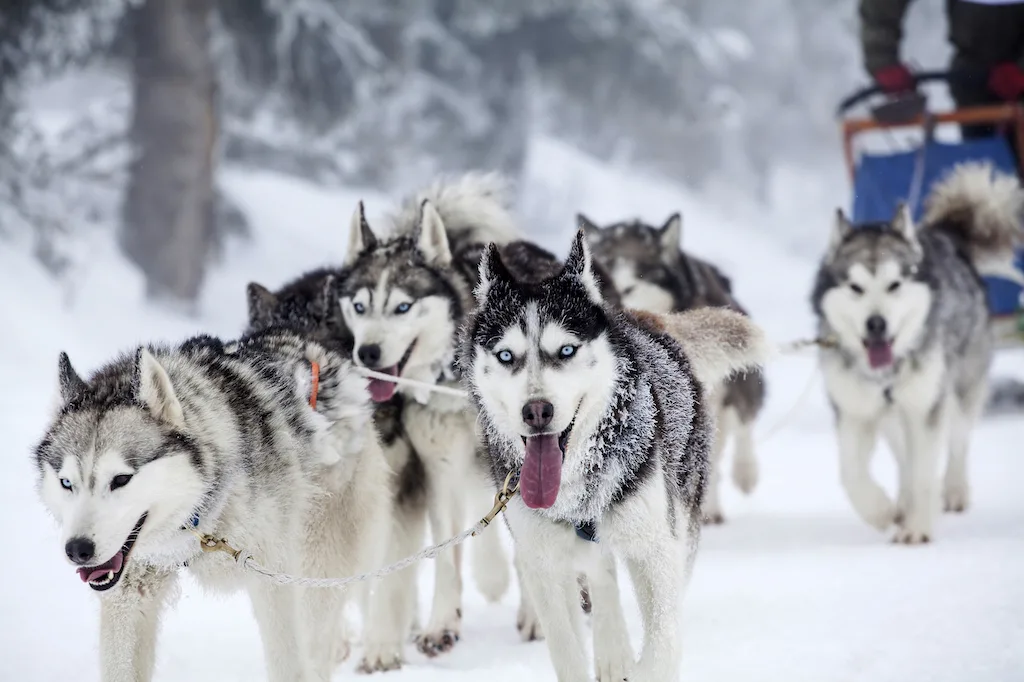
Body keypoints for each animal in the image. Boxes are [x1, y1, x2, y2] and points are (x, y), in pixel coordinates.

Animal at [35, 327, 391, 675]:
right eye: (67, 483)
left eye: (121, 479)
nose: (78, 550)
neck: (201, 515)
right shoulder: (130, 593)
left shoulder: (272, 580)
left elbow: (288, 661)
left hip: (318, 561)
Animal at [811, 160, 1019, 540]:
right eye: (855, 287)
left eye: (894, 284)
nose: (876, 324)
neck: (885, 375)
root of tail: (948, 237)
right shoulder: (854, 411)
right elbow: (851, 474)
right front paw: (882, 512)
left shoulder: (926, 408)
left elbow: (925, 471)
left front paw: (917, 530)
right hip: (894, 418)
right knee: (903, 458)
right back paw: (904, 502)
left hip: (958, 390)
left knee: (958, 442)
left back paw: (953, 491)